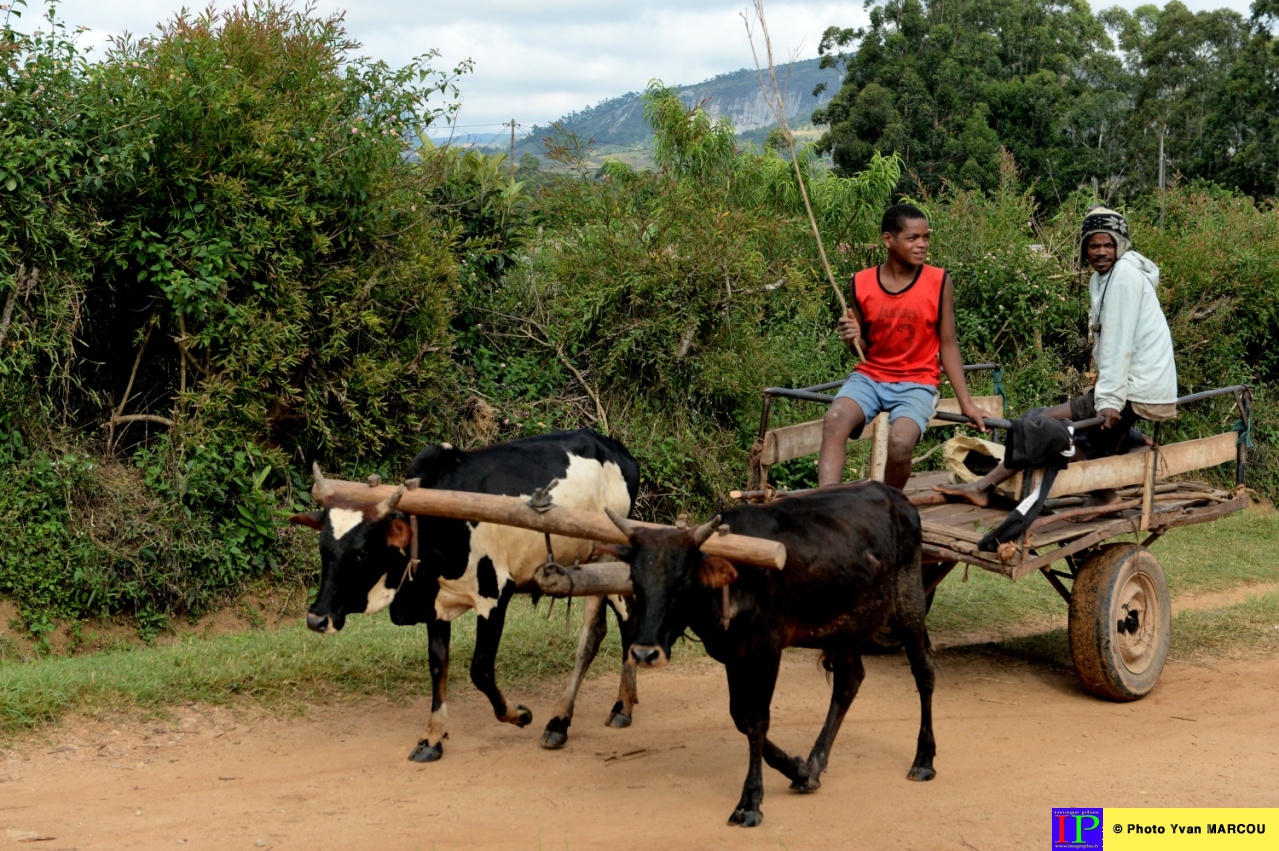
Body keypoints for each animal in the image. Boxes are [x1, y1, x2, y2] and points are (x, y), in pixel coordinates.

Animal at [294, 427, 644, 757]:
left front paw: (519, 714)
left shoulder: (495, 595)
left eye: (362, 553)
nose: (316, 619)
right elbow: (438, 664)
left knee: (596, 633)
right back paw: (622, 706)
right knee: (624, 621)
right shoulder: (435, 604)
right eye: (324, 548)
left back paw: (562, 721)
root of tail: (616, 449)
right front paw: (432, 738)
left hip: (602, 559)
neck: (438, 526)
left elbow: (481, 670)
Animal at [598, 481, 941, 824]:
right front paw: (798, 770)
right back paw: (815, 765)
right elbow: (740, 717)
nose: (644, 653)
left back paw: (923, 760)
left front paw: (750, 801)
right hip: (844, 626)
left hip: (909, 602)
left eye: (683, 583)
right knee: (849, 681)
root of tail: (895, 494)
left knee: (924, 672)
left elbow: (757, 720)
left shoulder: (767, 649)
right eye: (635, 581)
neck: (735, 579)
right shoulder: (732, 654)